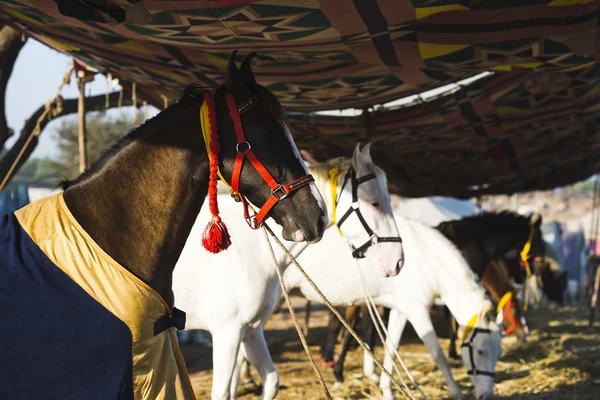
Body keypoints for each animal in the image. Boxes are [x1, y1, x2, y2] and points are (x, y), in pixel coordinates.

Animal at [171, 142, 404, 398]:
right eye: (375, 203)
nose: (397, 261)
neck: (248, 250)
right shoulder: (227, 333)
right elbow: (222, 392)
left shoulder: (250, 331)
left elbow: (271, 381)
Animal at [284, 214, 504, 398]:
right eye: (480, 351)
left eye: (498, 353)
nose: (487, 395)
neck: (426, 257)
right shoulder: (417, 312)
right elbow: (439, 356)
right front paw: (456, 392)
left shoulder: (400, 310)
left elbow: (391, 349)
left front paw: (386, 389)